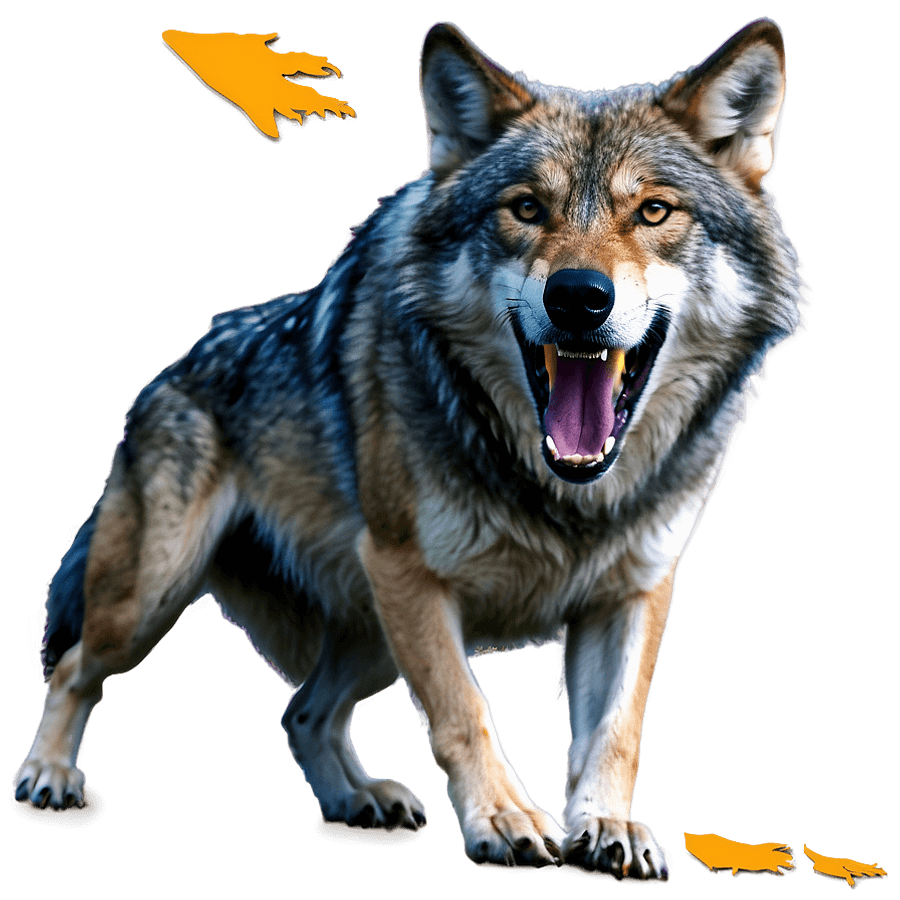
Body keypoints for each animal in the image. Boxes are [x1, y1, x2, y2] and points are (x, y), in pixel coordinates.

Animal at [14, 19, 806, 879]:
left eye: (655, 211)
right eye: (526, 207)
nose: (578, 296)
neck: (562, 490)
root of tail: (170, 373)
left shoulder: (632, 590)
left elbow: (615, 733)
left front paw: (607, 826)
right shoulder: (411, 573)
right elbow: (466, 709)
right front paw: (505, 815)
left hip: (369, 640)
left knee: (303, 713)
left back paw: (358, 799)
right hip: (155, 595)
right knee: (74, 666)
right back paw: (46, 773)